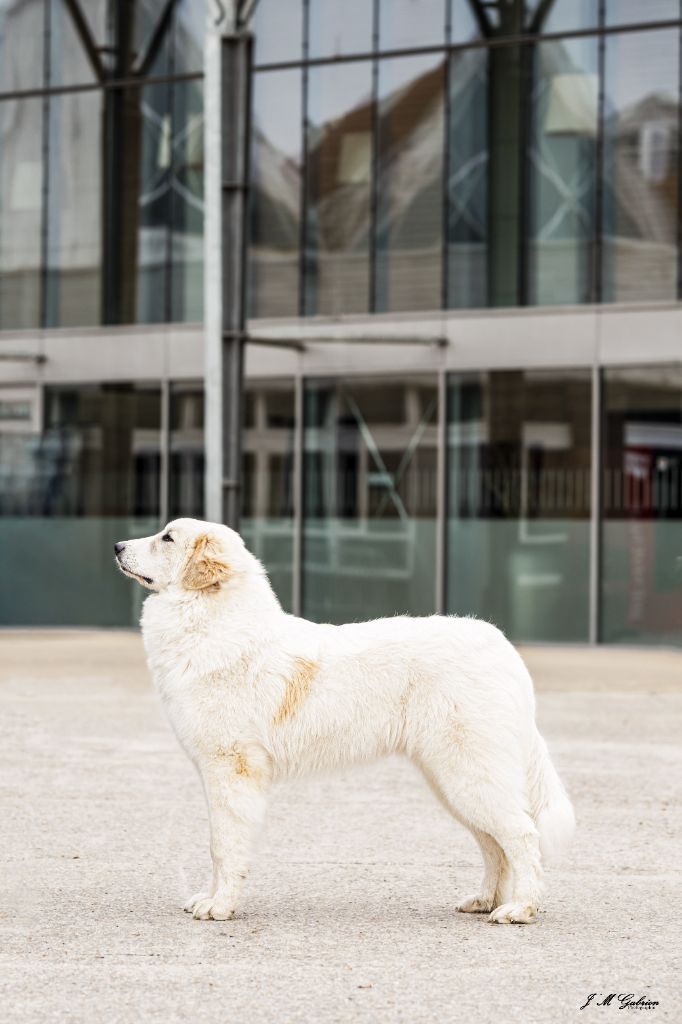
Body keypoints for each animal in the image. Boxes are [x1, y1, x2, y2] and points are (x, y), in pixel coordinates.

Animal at [115, 516, 573, 925]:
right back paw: (484, 901)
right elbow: (219, 843)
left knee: (522, 836)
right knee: (494, 845)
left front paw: (220, 907)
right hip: (453, 782)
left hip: (469, 775)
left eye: (167, 538)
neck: (211, 620)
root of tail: (504, 649)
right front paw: (211, 899)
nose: (118, 546)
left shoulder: (231, 769)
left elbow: (223, 845)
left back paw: (519, 909)